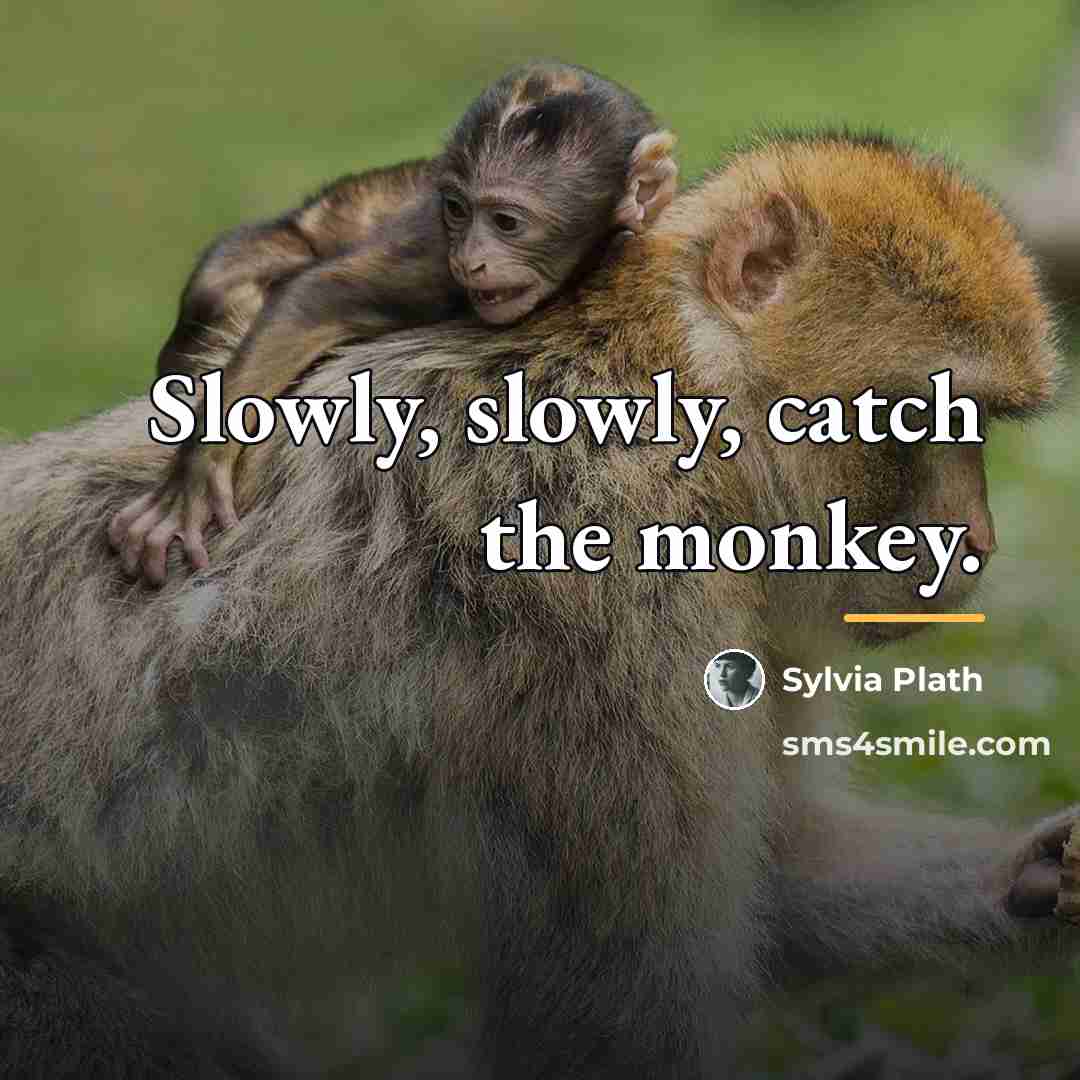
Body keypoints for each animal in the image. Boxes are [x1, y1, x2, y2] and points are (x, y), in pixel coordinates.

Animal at [0, 132, 1077, 1077]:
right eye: (930, 417)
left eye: (978, 423)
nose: (977, 540)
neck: (680, 405)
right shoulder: (605, 593)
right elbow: (612, 1027)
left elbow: (785, 876)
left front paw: (1043, 874)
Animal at [108, 62, 678, 586]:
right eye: (457, 210)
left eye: (506, 222)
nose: (472, 259)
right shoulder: (433, 260)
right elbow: (314, 300)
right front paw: (195, 477)